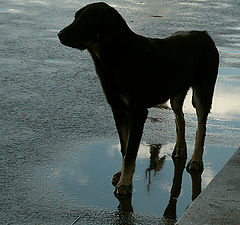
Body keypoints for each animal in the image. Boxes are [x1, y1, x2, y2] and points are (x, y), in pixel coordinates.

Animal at [57, 1, 218, 195]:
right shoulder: (118, 110)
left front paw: (125, 184)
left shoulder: (138, 112)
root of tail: (204, 34)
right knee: (180, 118)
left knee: (201, 127)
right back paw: (180, 148)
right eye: (75, 17)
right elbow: (124, 148)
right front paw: (122, 175)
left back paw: (196, 160)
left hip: (203, 90)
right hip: (176, 92)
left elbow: (131, 152)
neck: (117, 56)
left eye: (87, 20)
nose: (59, 35)